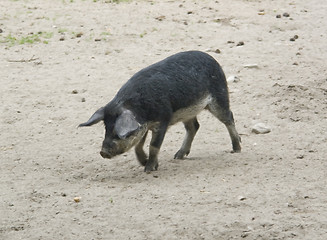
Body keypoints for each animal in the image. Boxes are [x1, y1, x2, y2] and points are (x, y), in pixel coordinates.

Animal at [80, 50, 241, 172]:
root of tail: (212, 59)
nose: (103, 152)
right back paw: (178, 156)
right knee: (194, 127)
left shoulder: (163, 120)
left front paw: (149, 169)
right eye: (106, 128)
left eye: (117, 132)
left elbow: (153, 145)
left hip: (219, 97)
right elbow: (138, 146)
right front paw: (144, 163)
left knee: (229, 118)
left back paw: (237, 149)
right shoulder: (143, 127)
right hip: (188, 112)